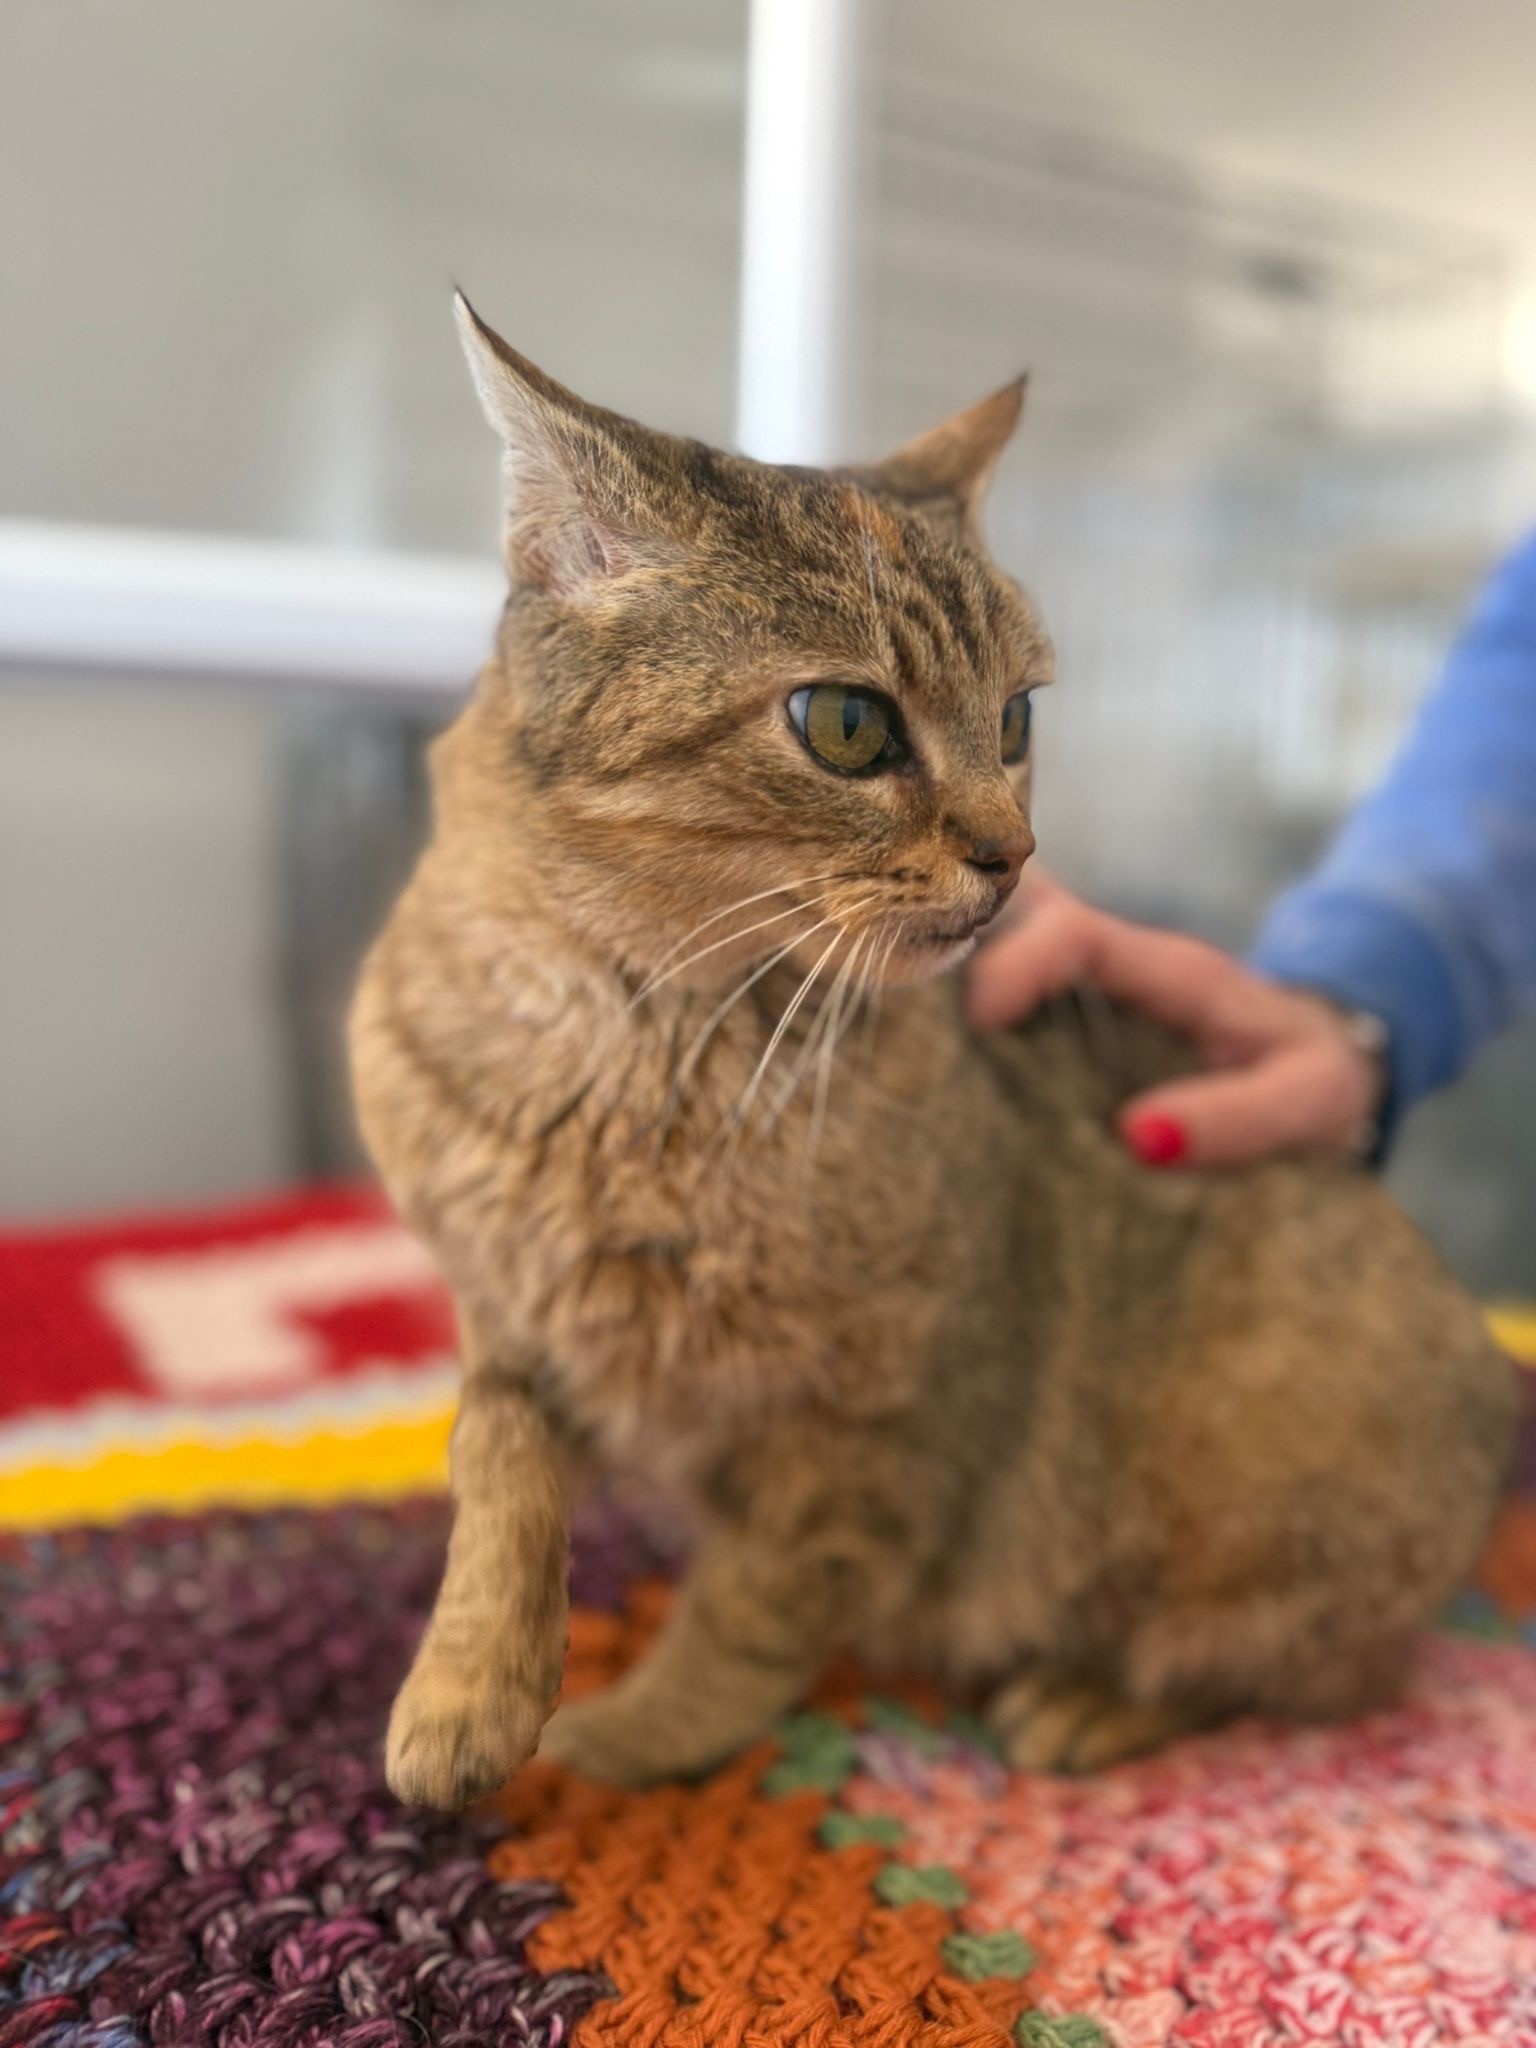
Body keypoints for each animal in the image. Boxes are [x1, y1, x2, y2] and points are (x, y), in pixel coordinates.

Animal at [350, 293, 1515, 1808]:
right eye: (847, 724)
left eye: (1015, 720)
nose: (1017, 856)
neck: (636, 1050)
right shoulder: (509, 1319)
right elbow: (493, 1461)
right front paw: (470, 1684)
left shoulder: (869, 1423)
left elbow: (752, 1612)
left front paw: (636, 1736)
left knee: (1278, 1665)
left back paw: (1085, 1698)